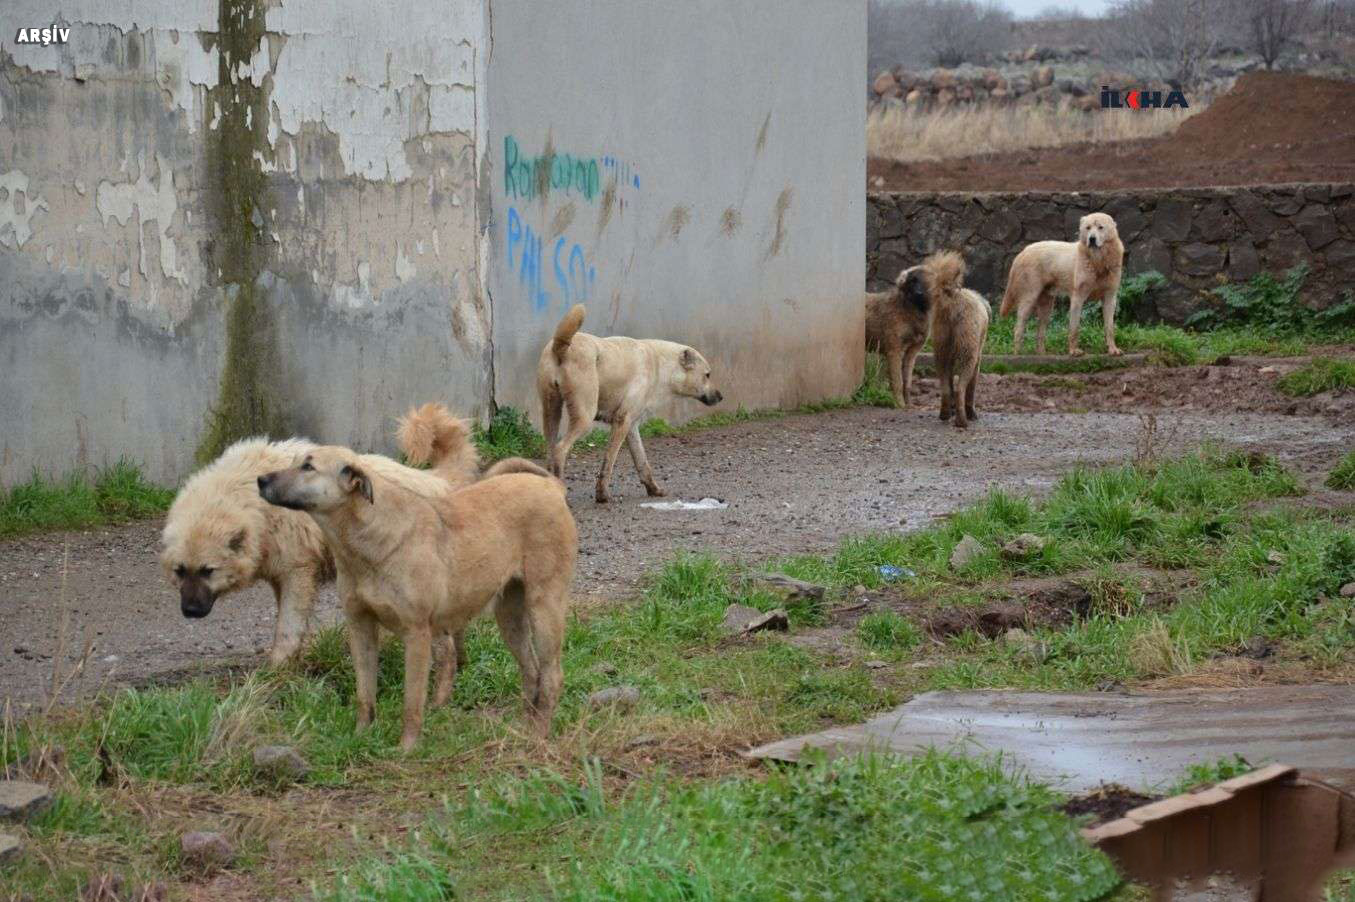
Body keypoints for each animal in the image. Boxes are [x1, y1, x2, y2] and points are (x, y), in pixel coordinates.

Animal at [256, 446, 574, 747]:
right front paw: (361, 736)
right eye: (294, 461)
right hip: (510, 616)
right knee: (531, 670)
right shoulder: (360, 627)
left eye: (308, 467)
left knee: (552, 676)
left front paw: (407, 748)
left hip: (545, 609)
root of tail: (552, 487)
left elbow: (411, 701)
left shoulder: (417, 633)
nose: (260, 480)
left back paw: (539, 735)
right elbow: (364, 694)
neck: (366, 539)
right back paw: (524, 729)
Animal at [539, 303, 726, 501]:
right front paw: (602, 494)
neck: (659, 363)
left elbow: (642, 461)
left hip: (551, 412)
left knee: (550, 450)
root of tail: (561, 347)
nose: (721, 396)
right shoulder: (623, 421)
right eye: (707, 375)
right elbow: (609, 461)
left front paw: (653, 489)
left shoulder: (631, 425)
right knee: (560, 450)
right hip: (584, 418)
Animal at [867, 264, 932, 406]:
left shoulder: (911, 353)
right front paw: (899, 404)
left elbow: (907, 382)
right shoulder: (894, 350)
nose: (919, 293)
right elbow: (898, 382)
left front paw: (908, 404)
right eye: (912, 281)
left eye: (928, 281)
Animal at [905, 247, 991, 427]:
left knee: (946, 385)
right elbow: (971, 388)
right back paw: (962, 420)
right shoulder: (977, 358)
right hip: (967, 352)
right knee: (960, 388)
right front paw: (972, 413)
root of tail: (952, 302)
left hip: (941, 348)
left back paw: (945, 414)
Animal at [1002, 211, 1127, 354]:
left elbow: (1109, 328)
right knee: (1018, 328)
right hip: (1029, 299)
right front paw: (1073, 351)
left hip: (1047, 306)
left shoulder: (1110, 298)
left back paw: (1042, 354)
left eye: (1100, 227)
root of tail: (1023, 251)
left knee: (1039, 332)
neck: (1098, 261)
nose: (1092, 239)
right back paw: (1018, 354)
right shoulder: (1077, 298)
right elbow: (1074, 328)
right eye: (1088, 228)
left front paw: (1113, 349)